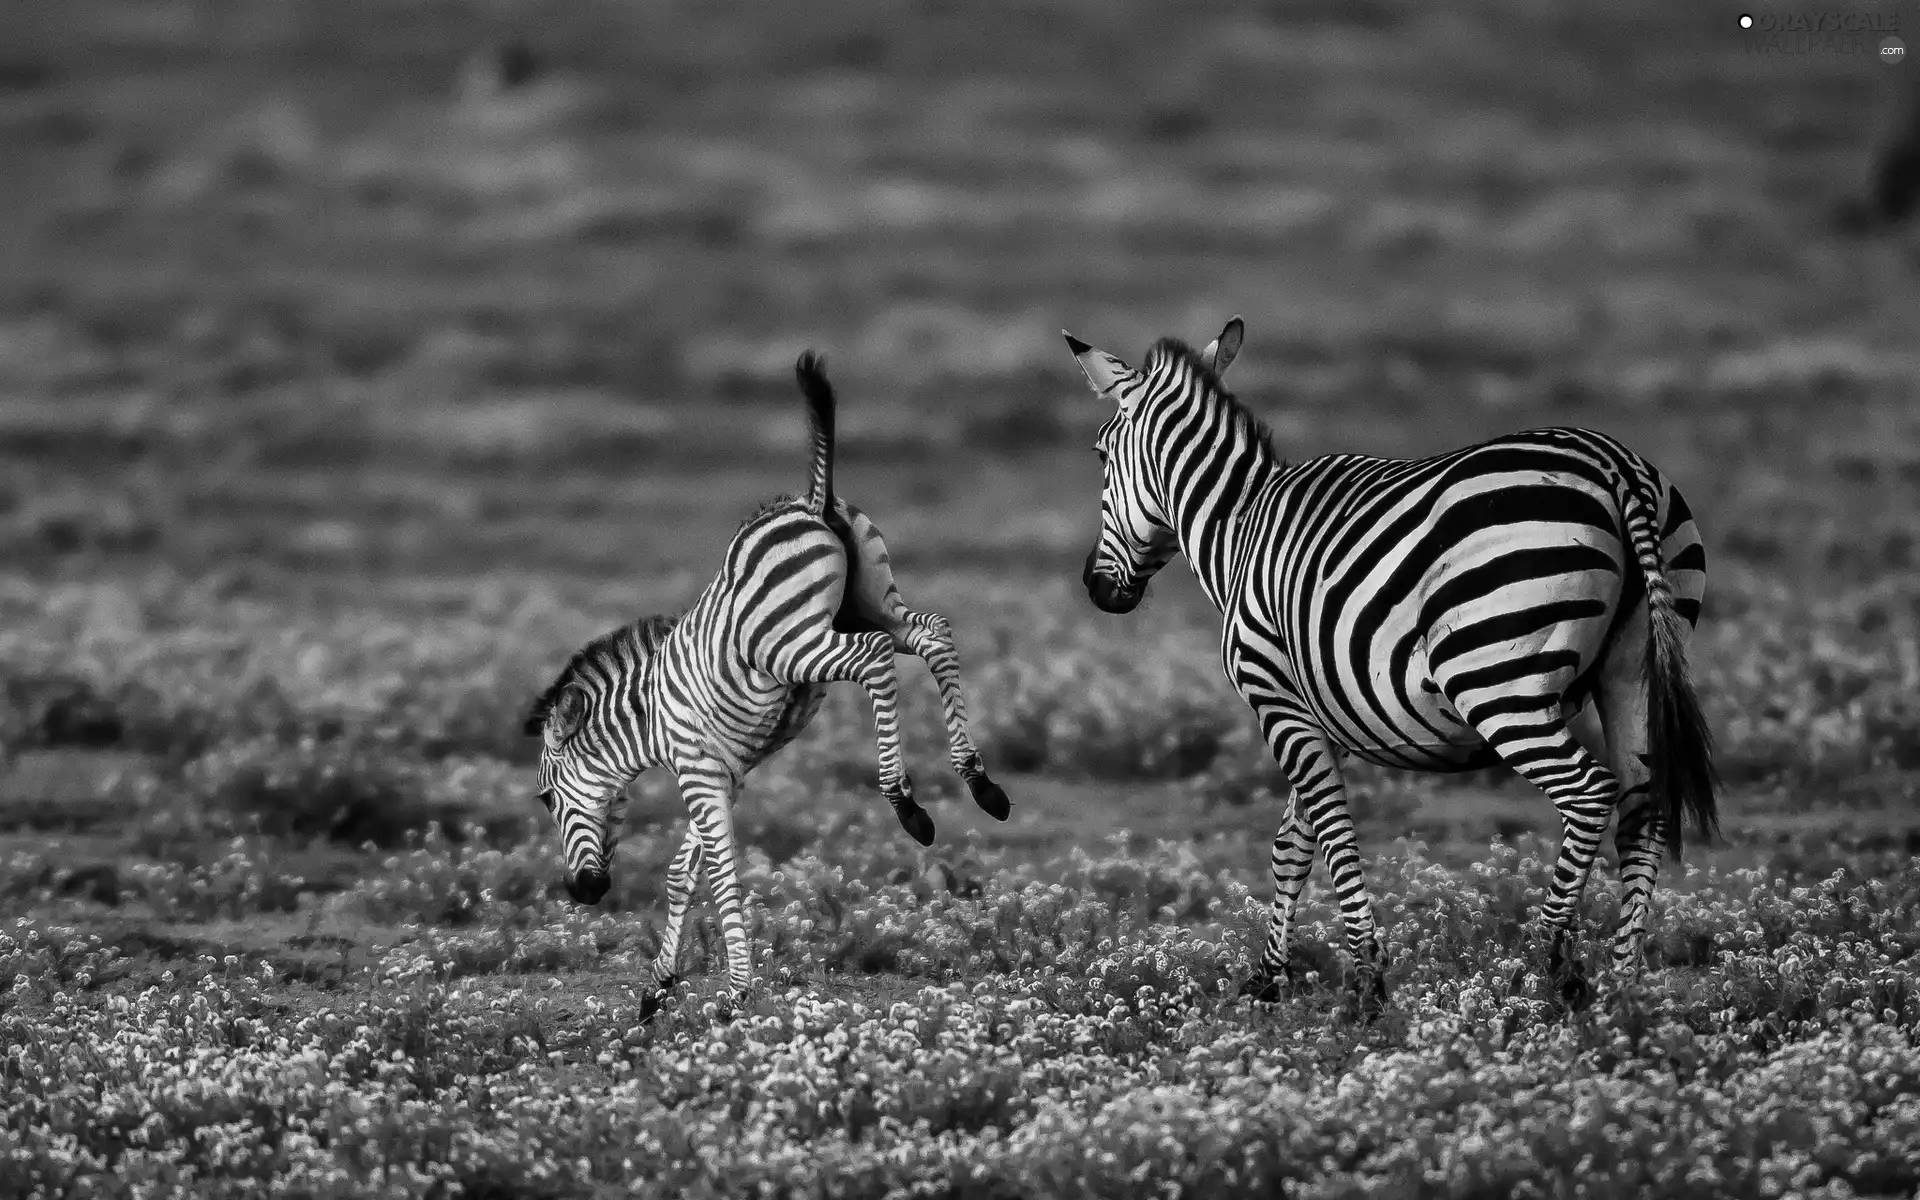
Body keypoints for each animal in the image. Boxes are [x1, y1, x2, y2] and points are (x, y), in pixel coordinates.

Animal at [518, 351, 1013, 1013]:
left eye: (547, 799)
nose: (583, 893)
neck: (649, 720)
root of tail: (810, 500)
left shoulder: (699, 773)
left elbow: (722, 874)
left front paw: (734, 994)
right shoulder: (726, 774)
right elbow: (683, 873)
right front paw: (658, 988)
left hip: (793, 644)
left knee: (877, 659)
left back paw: (907, 803)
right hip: (873, 601)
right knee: (934, 635)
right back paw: (981, 782)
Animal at [1067, 318, 1728, 1013]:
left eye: (1102, 456)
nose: (1095, 587)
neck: (1238, 528)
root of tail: (1614, 465)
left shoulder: (1276, 697)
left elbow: (1331, 829)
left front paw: (1365, 981)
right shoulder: (1324, 707)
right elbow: (1293, 843)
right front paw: (1268, 980)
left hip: (1497, 680)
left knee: (1590, 792)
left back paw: (1541, 972)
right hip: (1632, 673)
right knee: (1644, 810)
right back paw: (1622, 991)